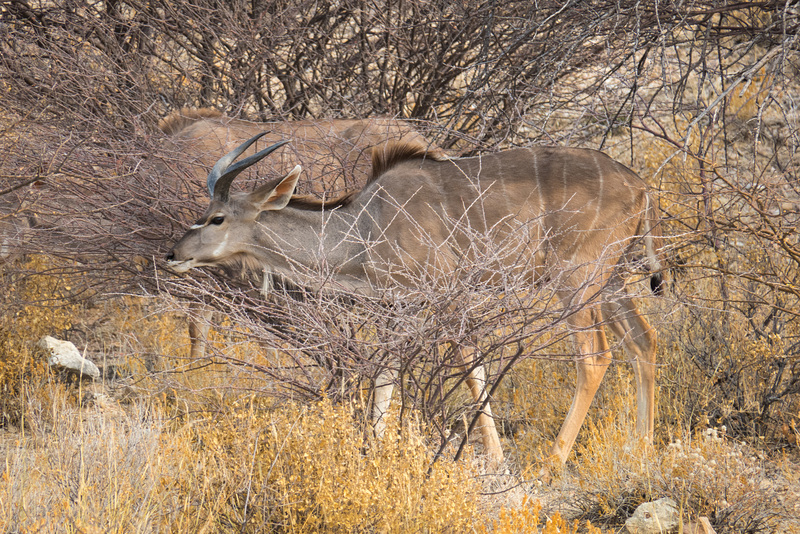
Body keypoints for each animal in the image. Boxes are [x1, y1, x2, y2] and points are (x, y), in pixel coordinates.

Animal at [166, 137, 664, 468]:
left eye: (217, 217)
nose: (174, 256)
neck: (367, 225)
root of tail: (641, 185)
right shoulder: (399, 307)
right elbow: (390, 375)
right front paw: (371, 449)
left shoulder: (443, 297)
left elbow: (465, 368)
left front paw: (496, 461)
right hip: (611, 280)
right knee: (644, 341)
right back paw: (642, 452)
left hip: (576, 280)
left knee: (595, 356)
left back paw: (551, 464)